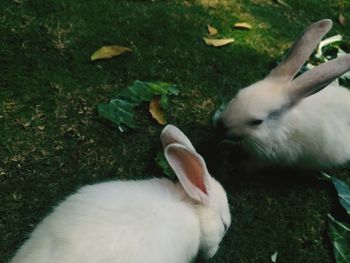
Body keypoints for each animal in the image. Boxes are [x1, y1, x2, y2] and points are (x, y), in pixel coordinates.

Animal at [219, 19, 350, 170]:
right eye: (237, 94)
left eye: (257, 122)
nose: (221, 125)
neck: (277, 128)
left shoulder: (269, 158)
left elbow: (252, 164)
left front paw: (240, 167)